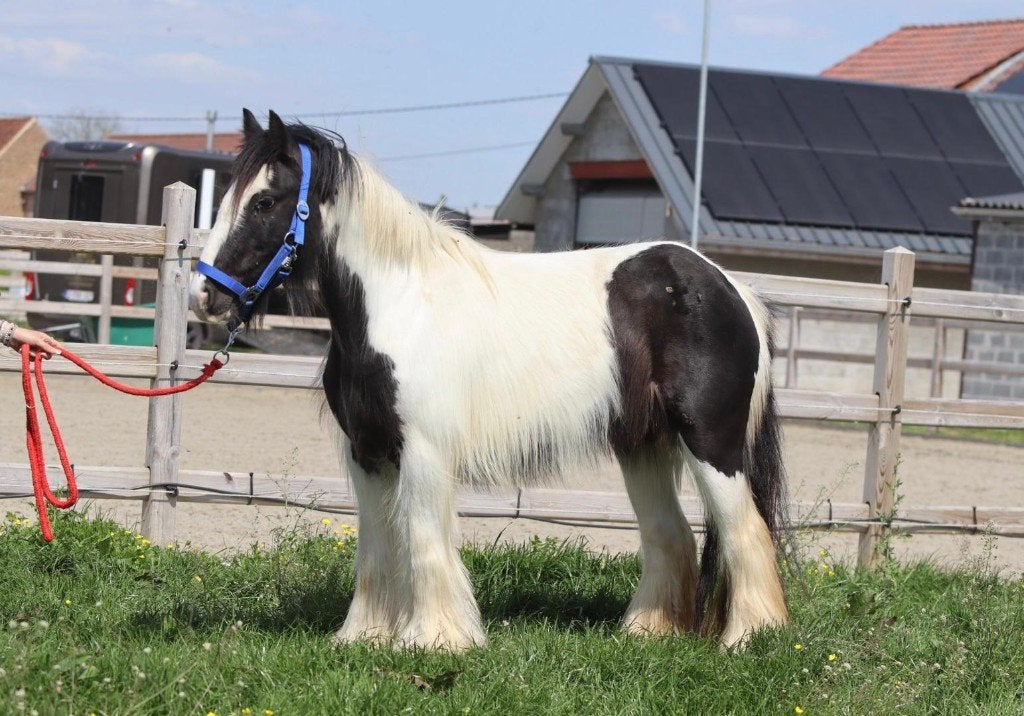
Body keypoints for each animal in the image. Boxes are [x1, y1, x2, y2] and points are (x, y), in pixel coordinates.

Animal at [189, 109, 789, 651]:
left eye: (265, 201)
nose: (205, 295)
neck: (400, 303)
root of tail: (731, 288)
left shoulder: (424, 449)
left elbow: (422, 536)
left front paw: (434, 639)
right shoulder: (367, 452)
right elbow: (376, 545)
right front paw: (364, 636)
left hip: (710, 442)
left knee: (745, 532)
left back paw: (748, 638)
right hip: (642, 444)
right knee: (671, 534)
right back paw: (648, 632)